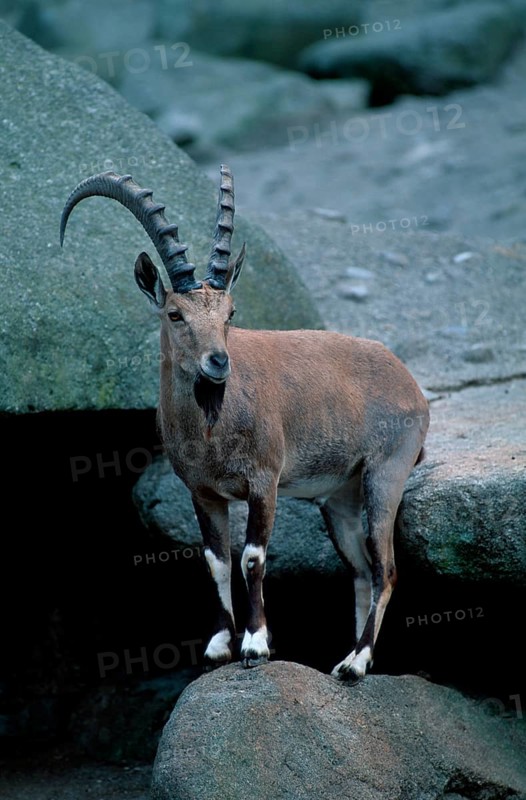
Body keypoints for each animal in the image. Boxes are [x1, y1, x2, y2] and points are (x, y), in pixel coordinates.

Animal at [60, 166, 429, 683]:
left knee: (385, 569)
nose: (218, 362)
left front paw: (255, 645)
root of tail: (410, 382)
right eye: (175, 313)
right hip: (341, 496)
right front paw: (218, 647)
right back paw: (354, 658)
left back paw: (355, 663)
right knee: (359, 570)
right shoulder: (203, 492)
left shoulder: (263, 481)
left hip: (386, 474)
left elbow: (253, 558)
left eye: (230, 313)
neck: (211, 430)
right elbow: (216, 560)